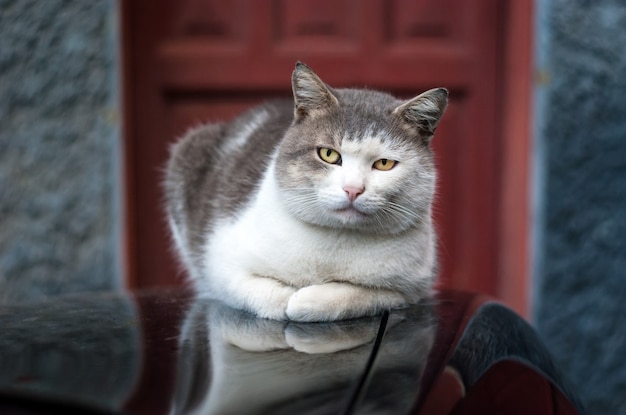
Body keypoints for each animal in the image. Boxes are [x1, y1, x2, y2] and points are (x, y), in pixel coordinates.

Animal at [166, 61, 446, 324]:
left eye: (384, 164)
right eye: (328, 154)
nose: (353, 189)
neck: (335, 242)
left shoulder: (410, 287)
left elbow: (358, 295)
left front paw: (306, 300)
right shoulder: (221, 262)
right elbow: (262, 294)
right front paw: (287, 299)